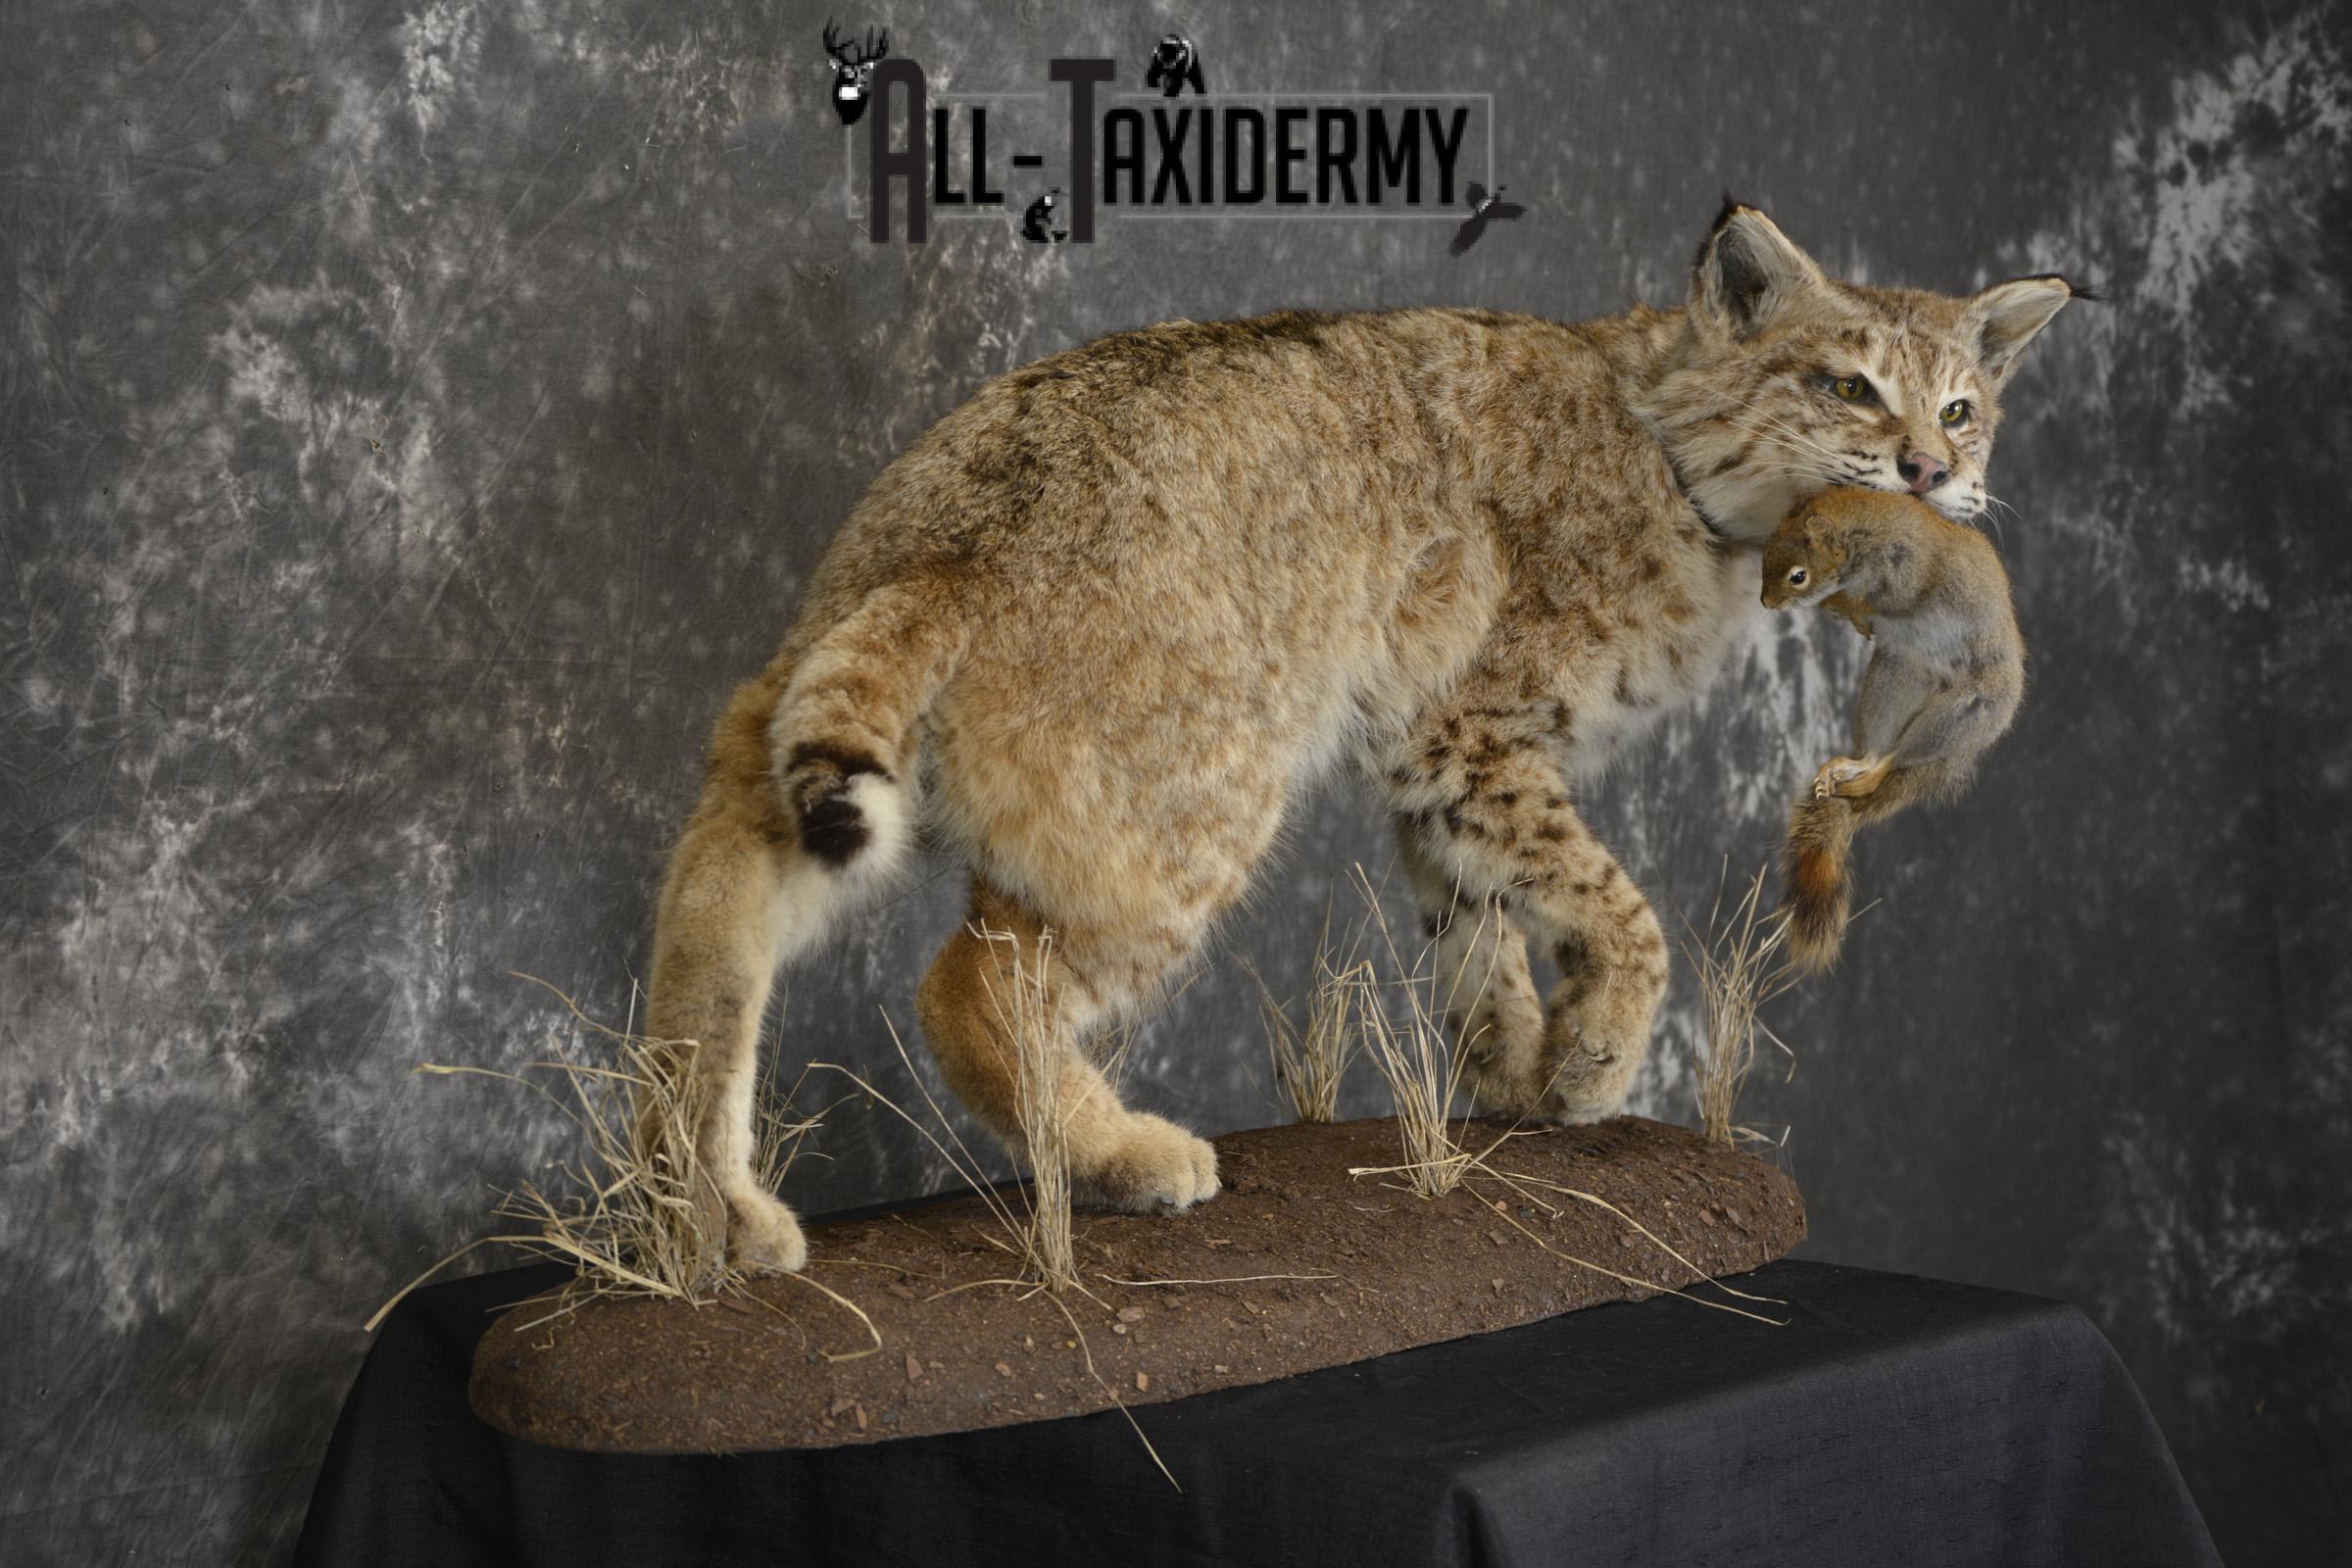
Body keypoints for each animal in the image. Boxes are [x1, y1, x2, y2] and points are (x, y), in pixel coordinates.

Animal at [1760, 486, 2027, 972]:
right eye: (1764, 555)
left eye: (1798, 576)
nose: (1767, 604)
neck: (1861, 531)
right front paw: (1842, 609)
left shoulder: (1908, 569)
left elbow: (1889, 599)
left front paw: (1849, 606)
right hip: (1895, 680)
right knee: (1879, 749)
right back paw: (1852, 767)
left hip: (1960, 713)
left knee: (1900, 756)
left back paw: (1869, 780)